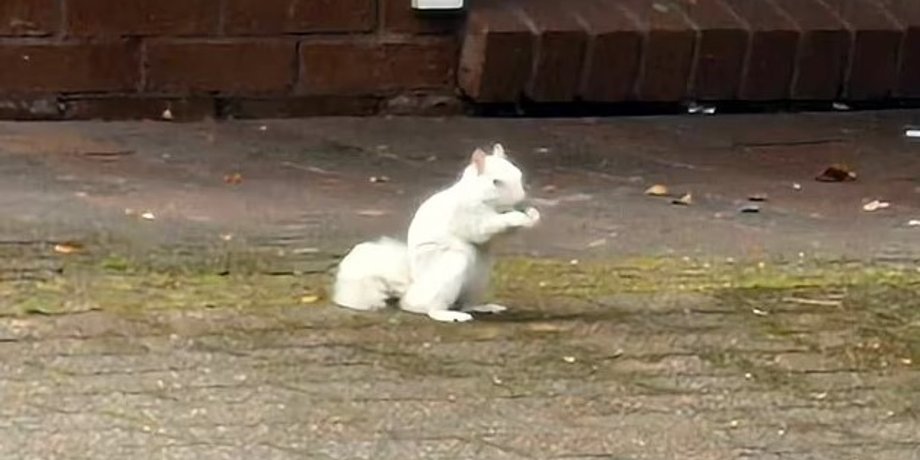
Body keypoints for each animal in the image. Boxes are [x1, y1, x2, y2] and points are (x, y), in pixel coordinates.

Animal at [332, 143, 541, 323]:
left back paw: (484, 307)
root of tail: (414, 288)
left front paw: (532, 214)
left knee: (467, 303)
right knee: (428, 306)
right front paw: (519, 216)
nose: (521, 200)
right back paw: (446, 315)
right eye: (496, 182)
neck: (478, 196)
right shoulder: (465, 214)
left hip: (480, 277)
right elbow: (482, 228)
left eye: (519, 174)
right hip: (451, 268)